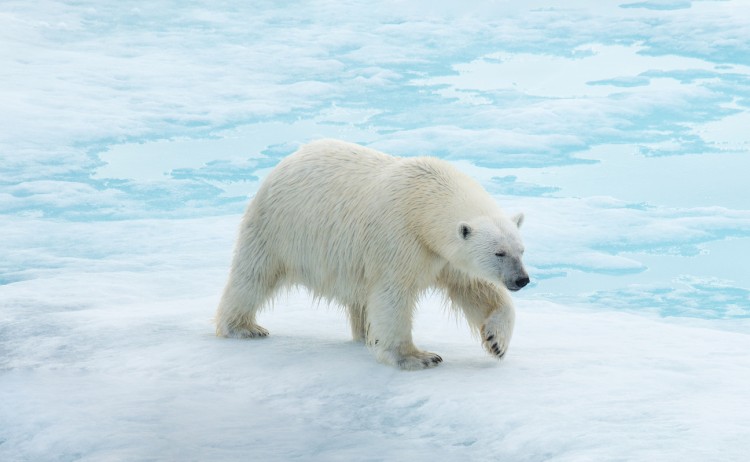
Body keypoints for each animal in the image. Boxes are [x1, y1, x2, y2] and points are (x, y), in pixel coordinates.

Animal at [215, 139, 529, 370]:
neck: (424, 200)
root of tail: (286, 160)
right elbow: (393, 295)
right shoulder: (399, 238)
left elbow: (475, 288)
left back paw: (365, 334)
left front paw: (496, 341)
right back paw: (243, 327)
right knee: (253, 275)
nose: (522, 279)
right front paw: (417, 357)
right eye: (499, 253)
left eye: (521, 250)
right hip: (278, 228)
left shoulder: (443, 255)